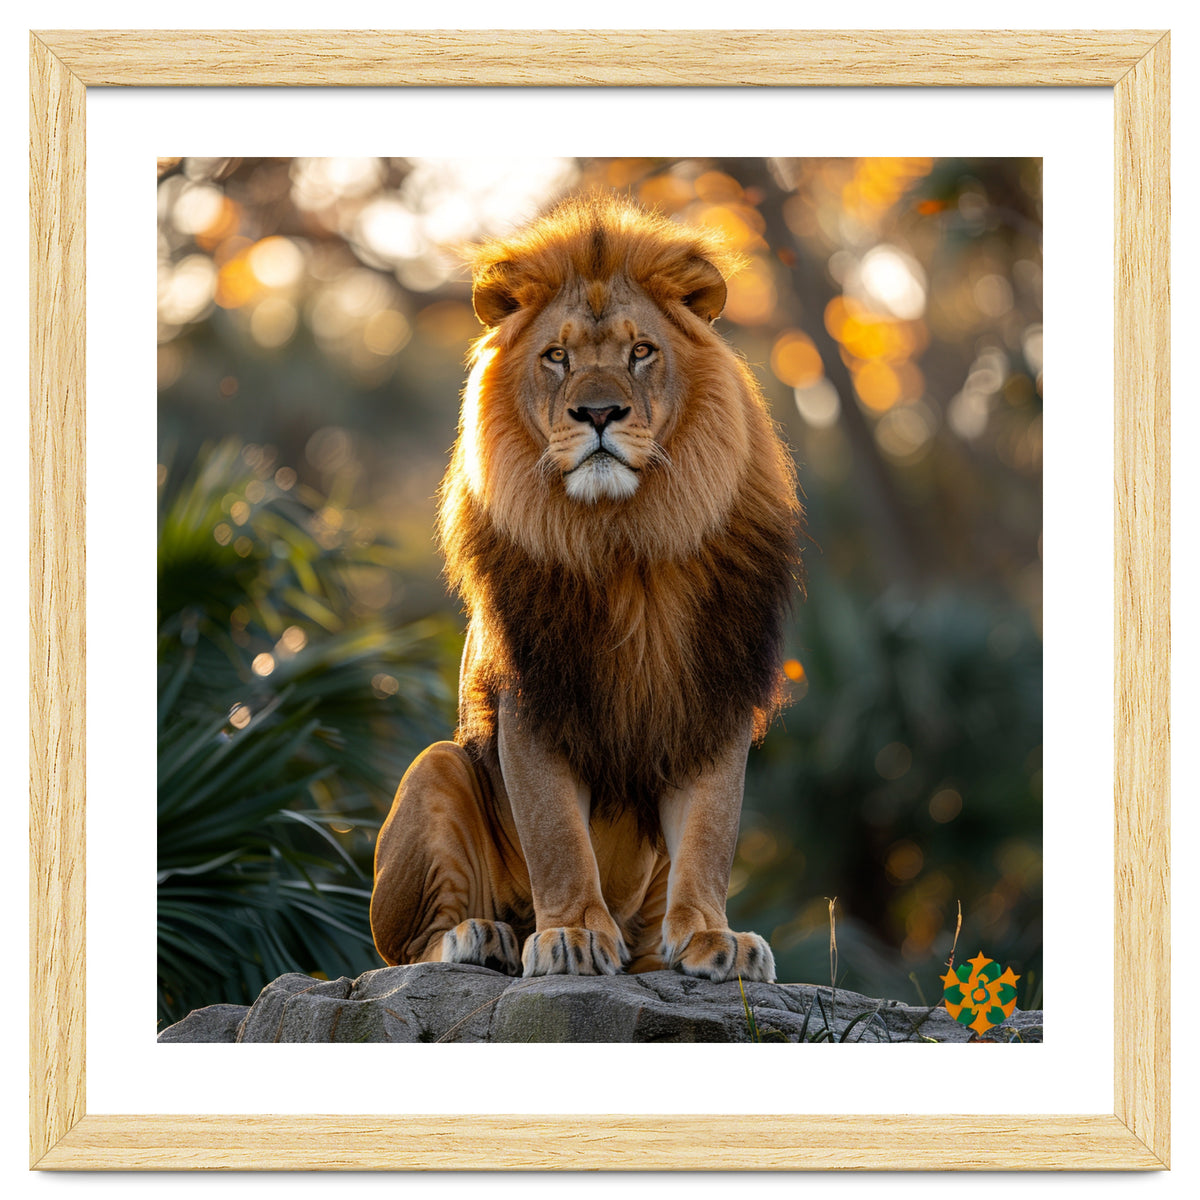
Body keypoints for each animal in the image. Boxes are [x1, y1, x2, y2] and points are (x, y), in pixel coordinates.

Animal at [370, 195, 802, 984]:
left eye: (641, 352)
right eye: (557, 357)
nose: (599, 414)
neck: (625, 541)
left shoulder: (713, 696)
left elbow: (709, 833)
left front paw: (712, 938)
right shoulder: (532, 697)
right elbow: (558, 835)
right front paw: (569, 934)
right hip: (436, 768)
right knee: (406, 949)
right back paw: (483, 936)